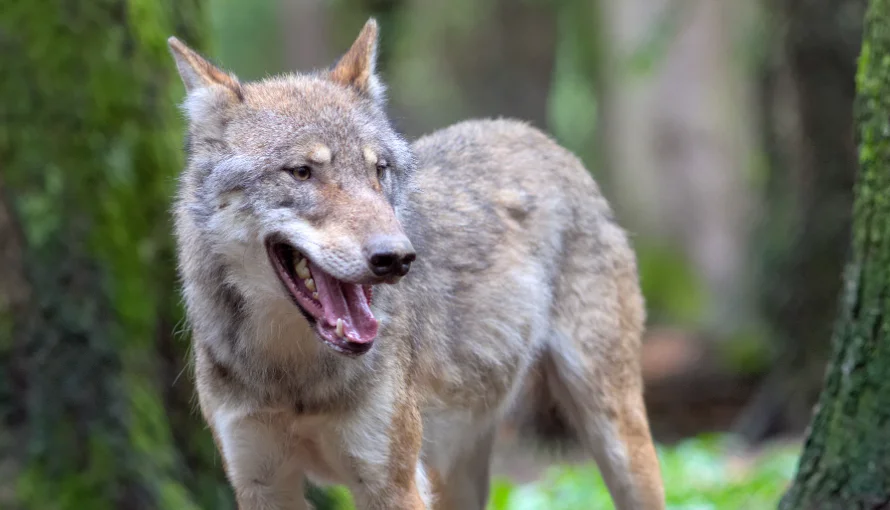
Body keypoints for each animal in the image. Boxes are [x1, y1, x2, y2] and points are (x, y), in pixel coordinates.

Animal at [168, 17, 664, 508]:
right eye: (302, 172)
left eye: (379, 170)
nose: (397, 257)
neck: (293, 378)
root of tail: (534, 135)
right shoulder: (261, 484)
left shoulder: (393, 483)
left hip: (618, 438)